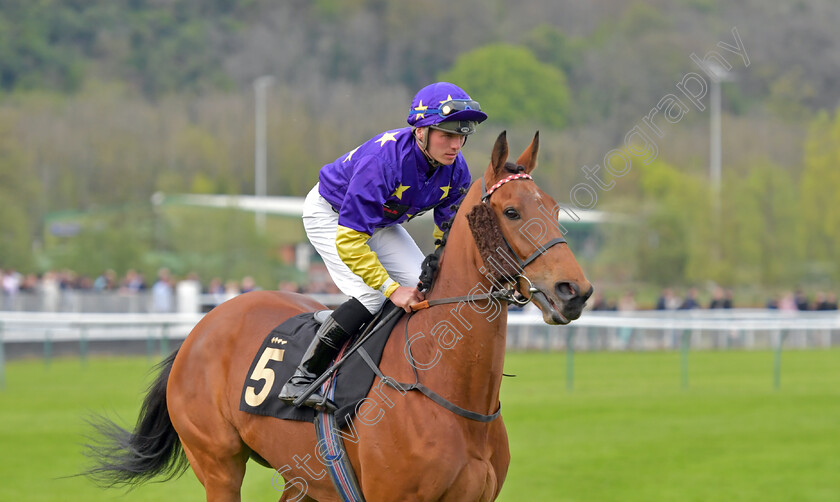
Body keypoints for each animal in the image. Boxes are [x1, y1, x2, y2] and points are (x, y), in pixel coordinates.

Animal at [87, 130, 592, 502]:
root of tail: (204, 325)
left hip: (305, 480)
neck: (446, 390)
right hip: (217, 464)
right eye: (512, 211)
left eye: (552, 208)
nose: (575, 291)